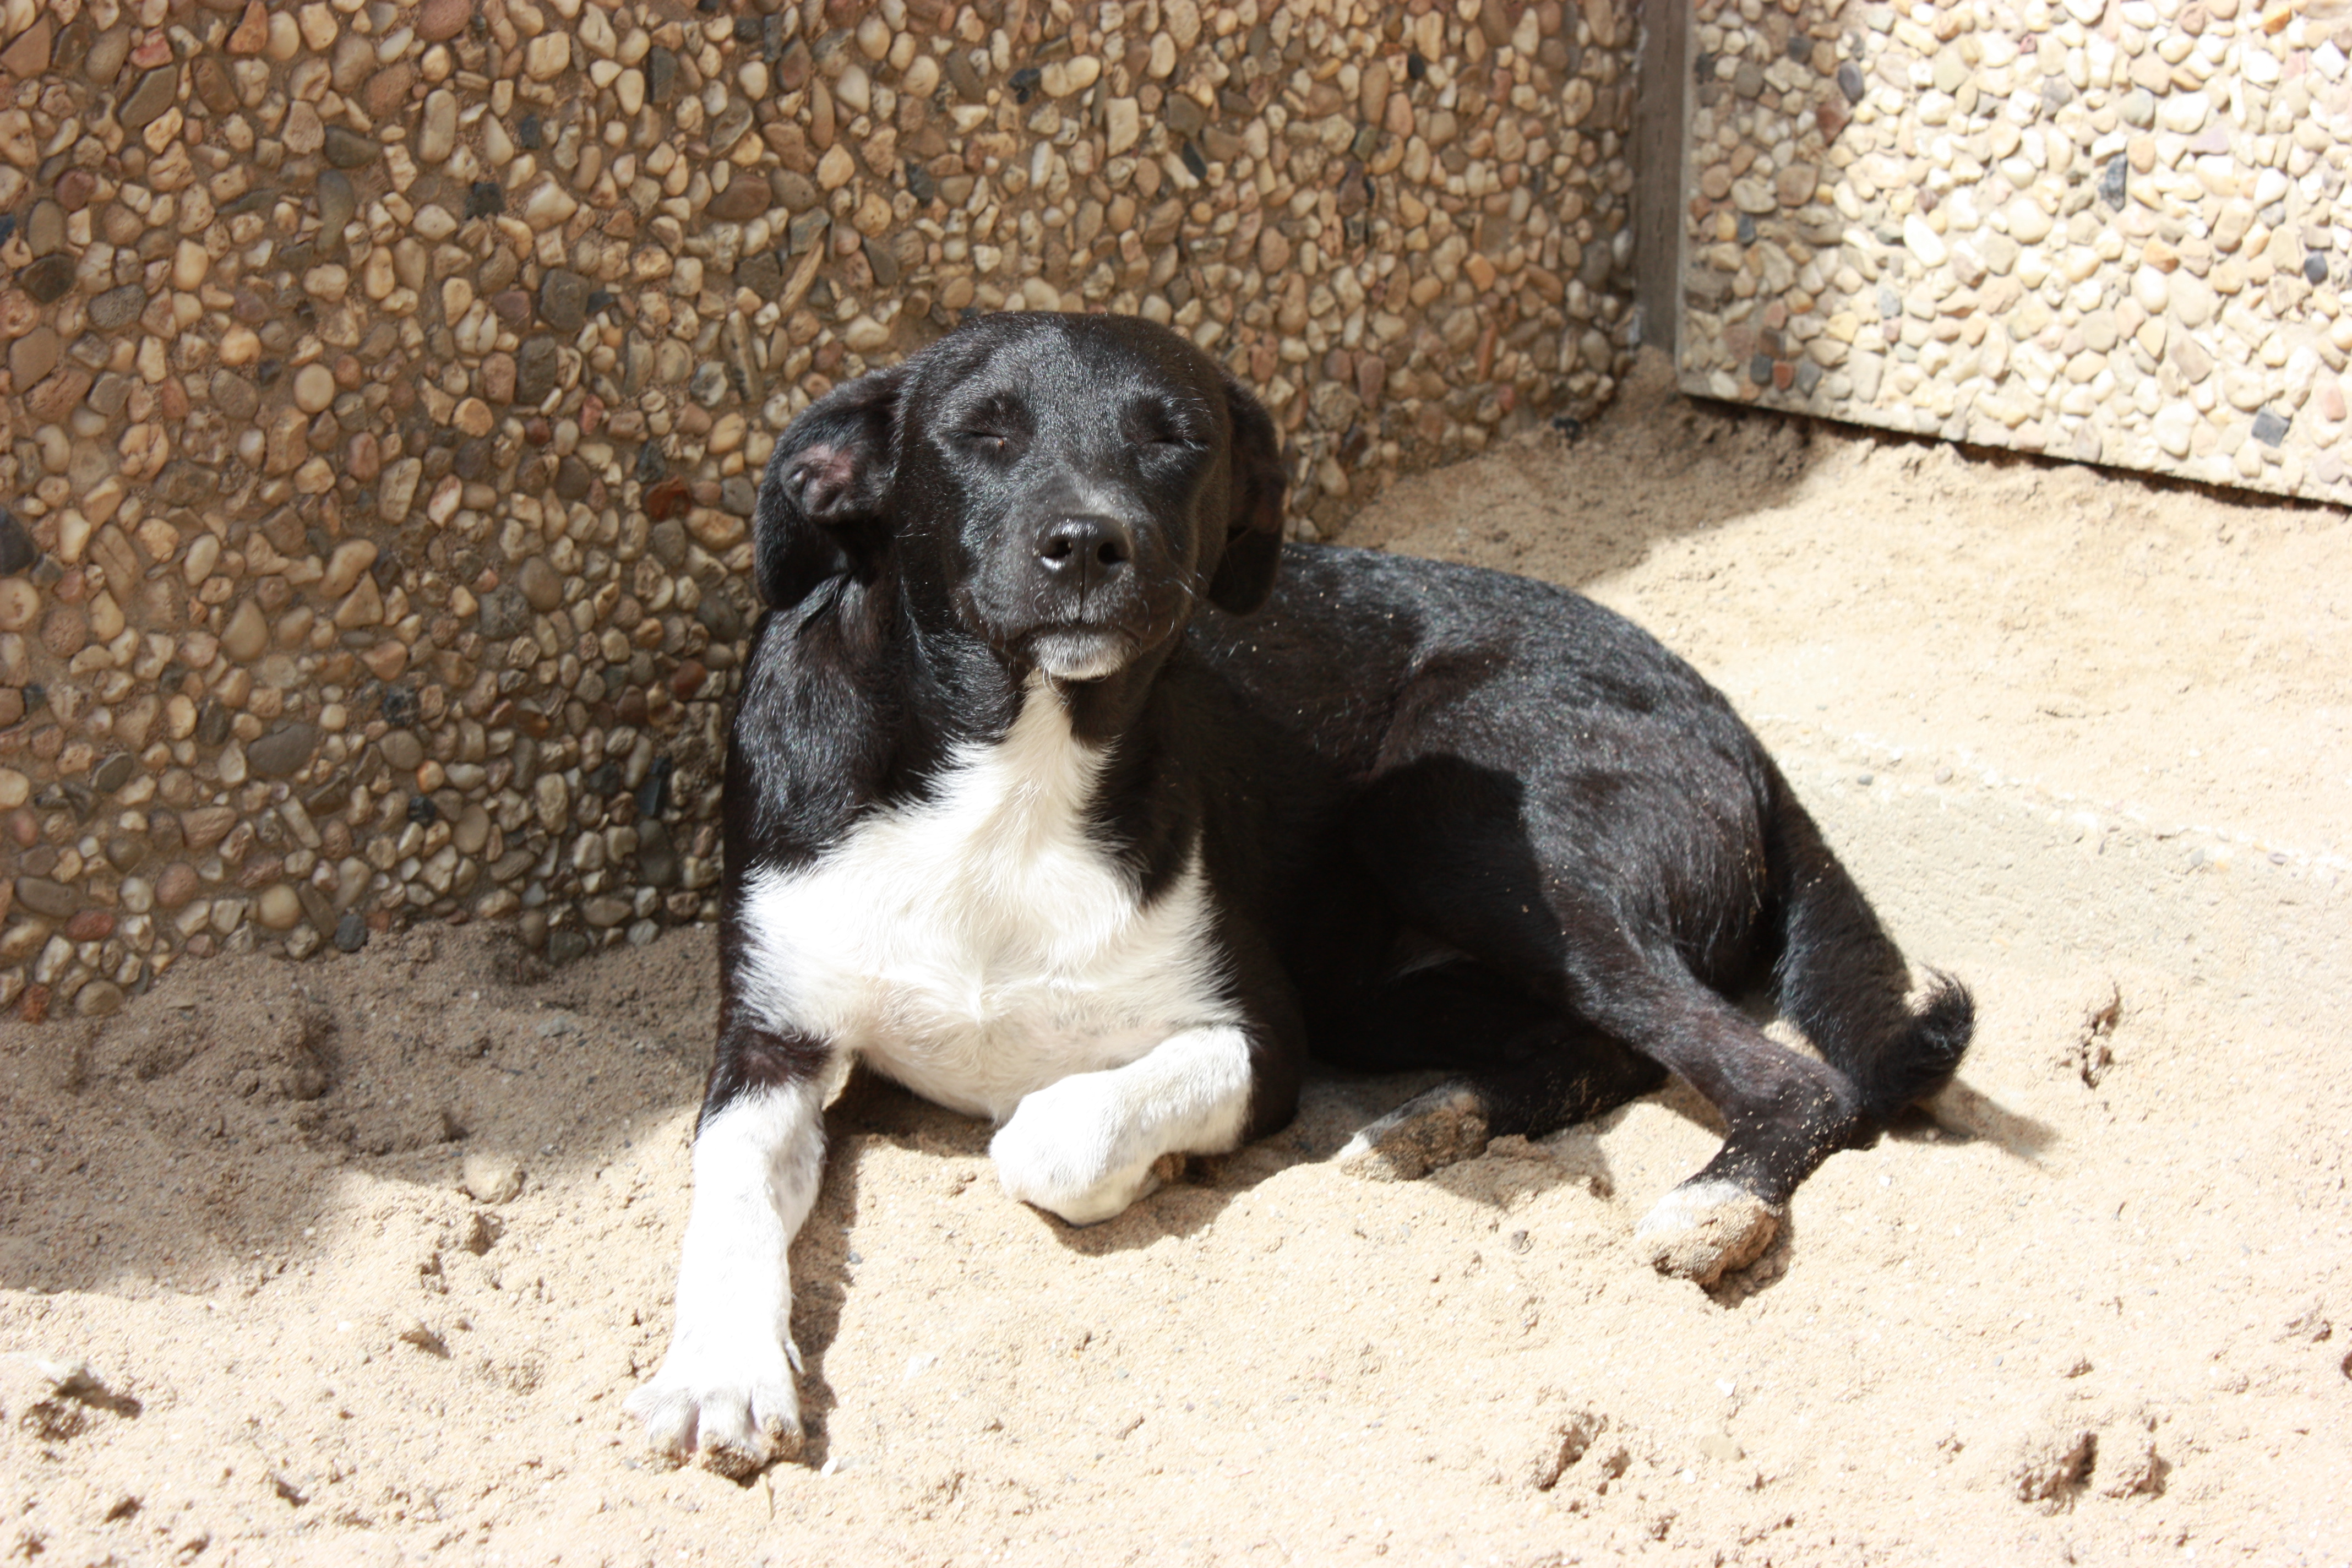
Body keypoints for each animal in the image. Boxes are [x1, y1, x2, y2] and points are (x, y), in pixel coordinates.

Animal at [624, 313, 1973, 1477]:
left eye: (1175, 436)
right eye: (981, 430)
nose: (1088, 542)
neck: (1008, 781)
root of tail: (1733, 721)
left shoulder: (1262, 1035)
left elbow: (1055, 1133)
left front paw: (1132, 1154)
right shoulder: (769, 1038)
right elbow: (728, 1191)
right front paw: (721, 1372)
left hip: (1448, 820)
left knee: (1782, 1073)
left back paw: (1711, 1203)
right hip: (1389, 976)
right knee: (1607, 1045)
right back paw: (1439, 1119)